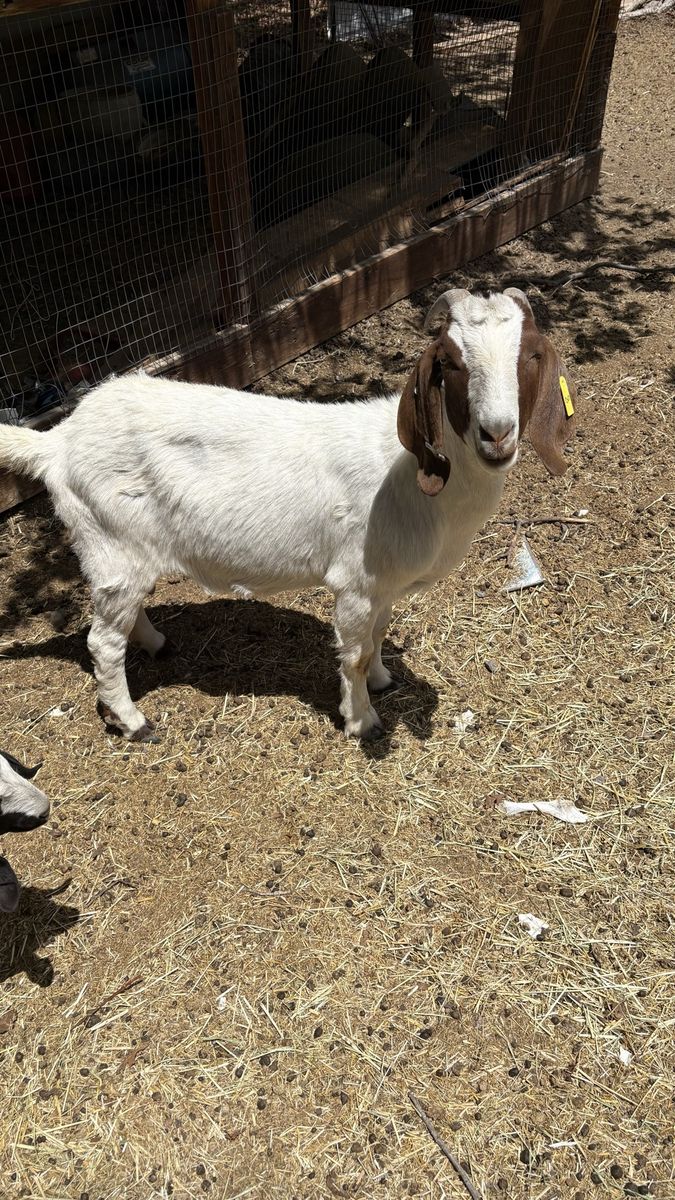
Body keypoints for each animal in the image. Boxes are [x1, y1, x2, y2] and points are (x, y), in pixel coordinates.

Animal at [0, 288, 576, 741]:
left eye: (529, 356)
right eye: (451, 362)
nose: (497, 434)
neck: (414, 479)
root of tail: (57, 442)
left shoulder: (385, 585)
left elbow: (379, 635)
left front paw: (383, 680)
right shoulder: (355, 582)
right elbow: (354, 652)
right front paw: (362, 720)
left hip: (126, 552)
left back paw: (156, 643)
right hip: (111, 541)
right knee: (102, 642)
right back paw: (132, 721)